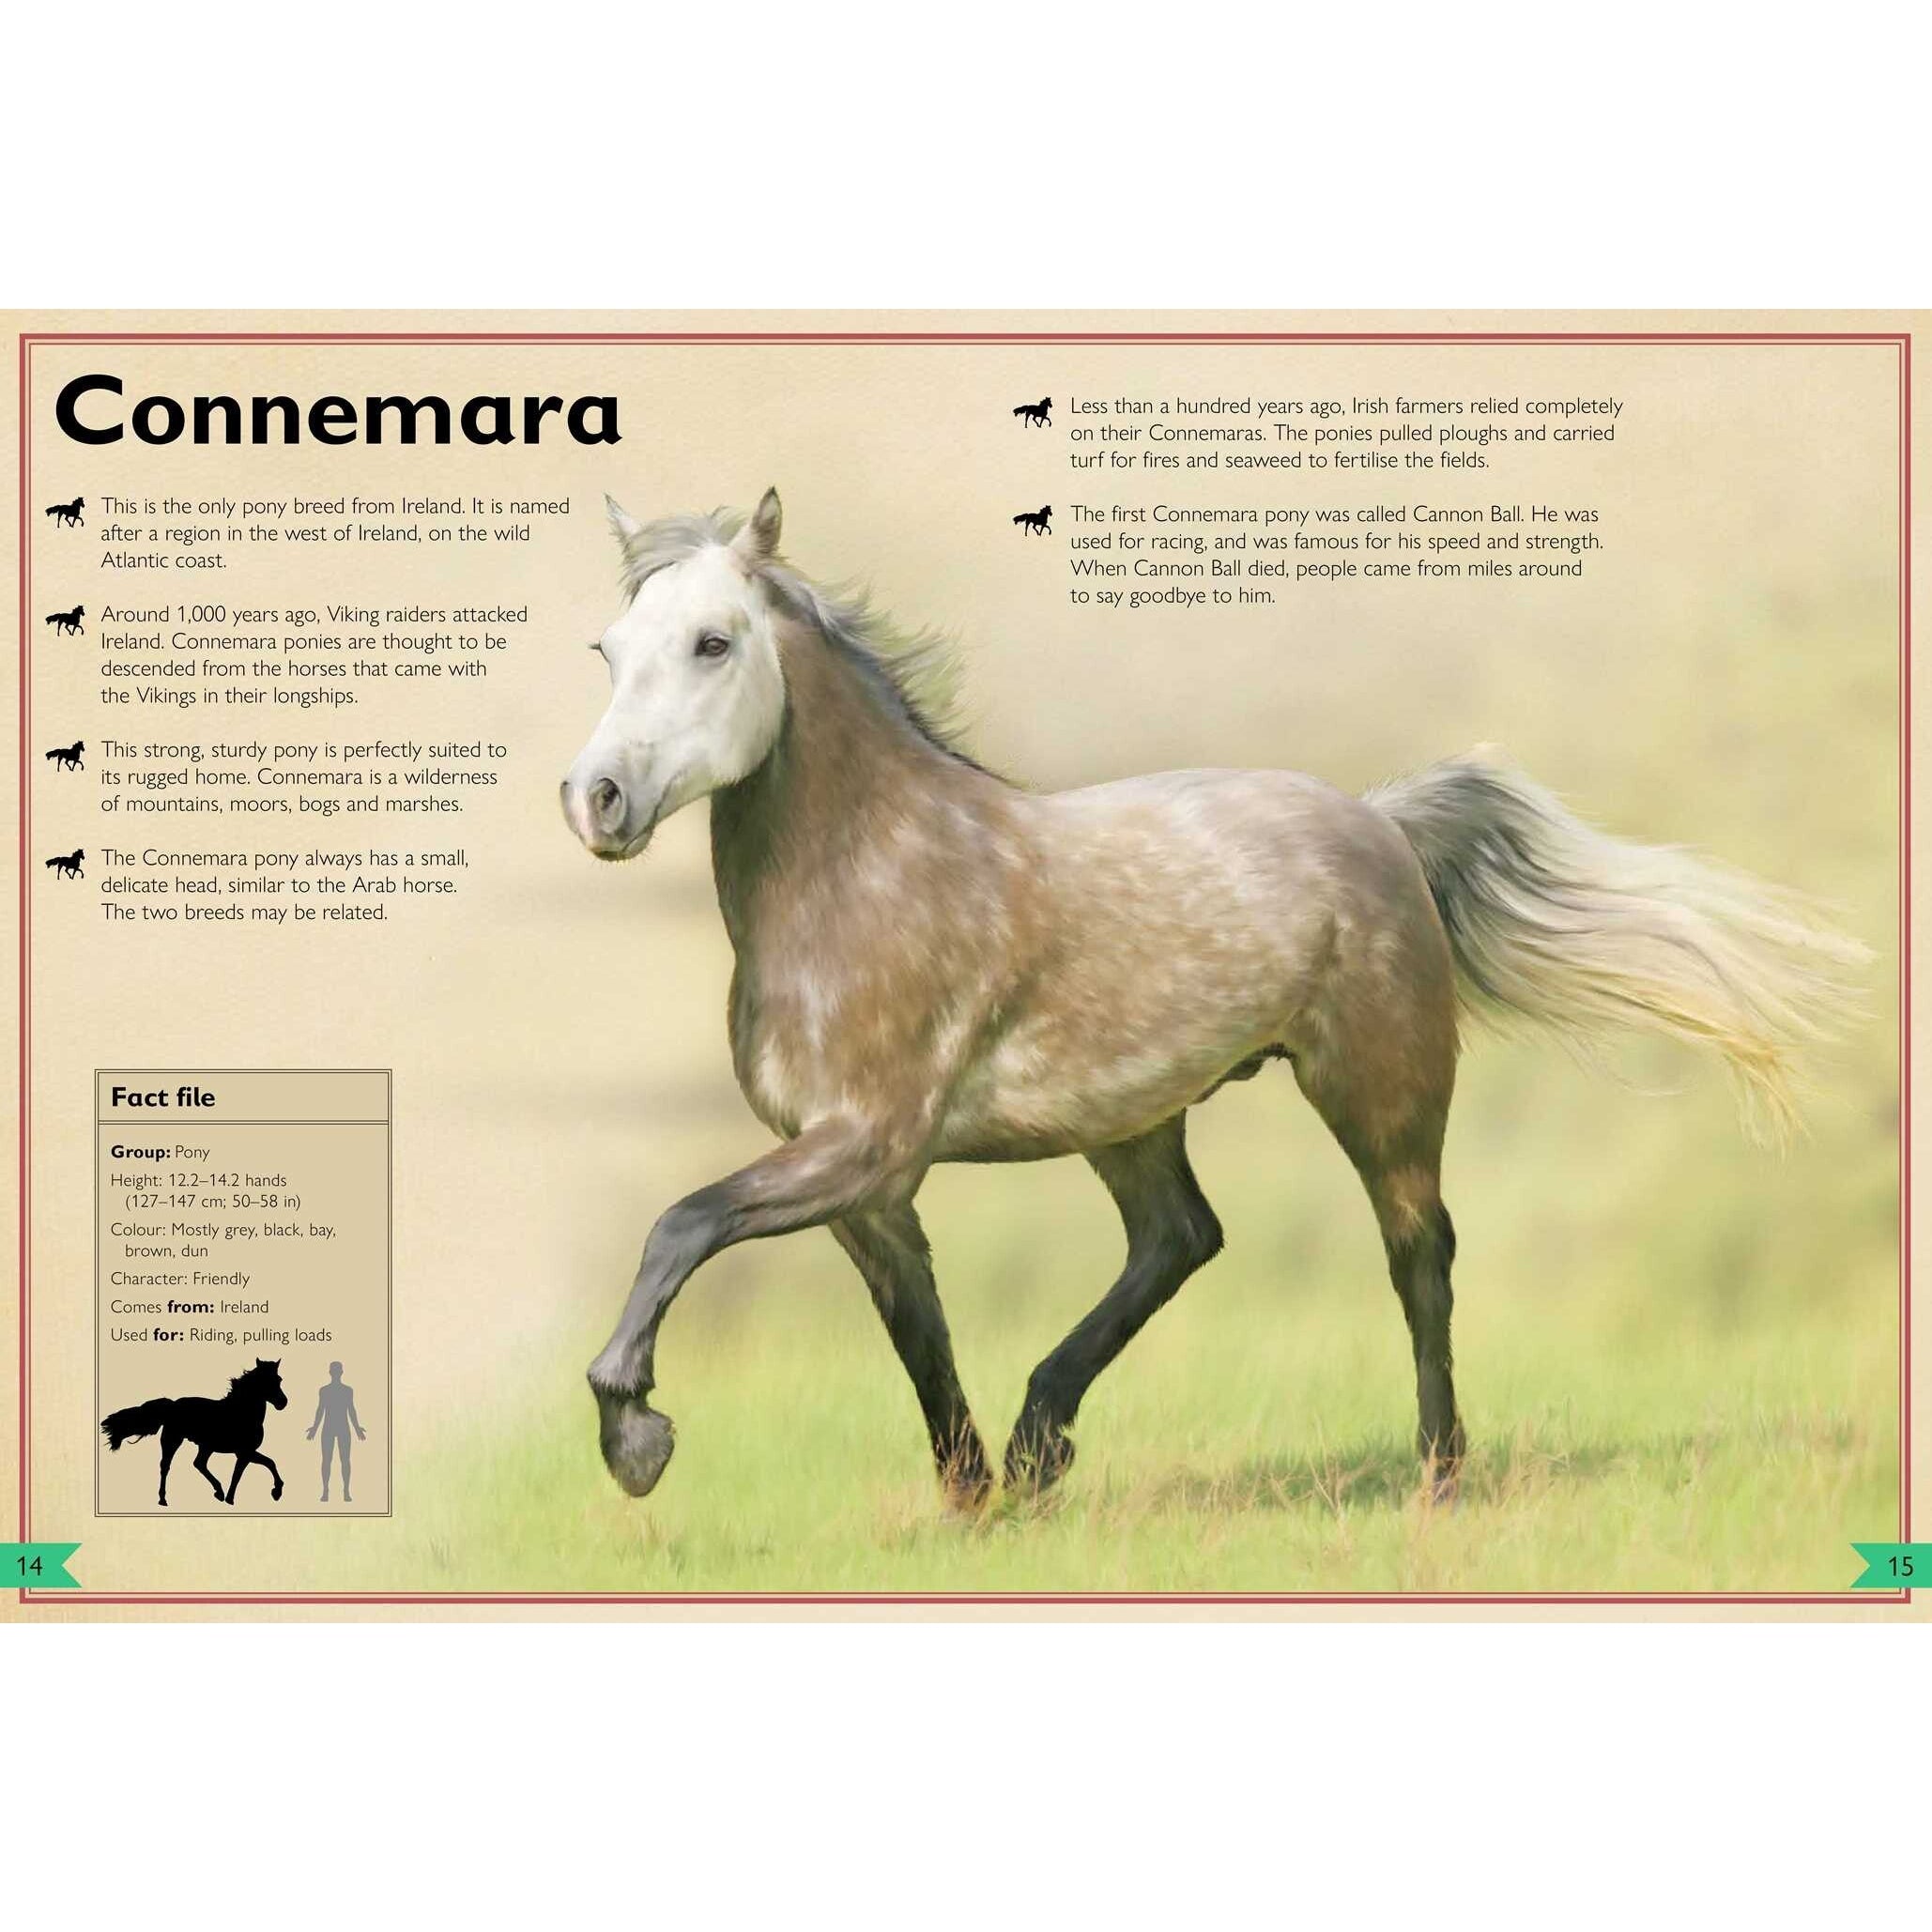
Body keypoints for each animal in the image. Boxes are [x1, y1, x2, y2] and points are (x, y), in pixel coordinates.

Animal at [101, 1359, 289, 1506]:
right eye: (265, 1381)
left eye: (279, 1379)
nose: (283, 1402)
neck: (242, 1413)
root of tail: (172, 1405)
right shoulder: (244, 1453)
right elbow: (243, 1473)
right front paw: (270, 1493)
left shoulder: (245, 1453)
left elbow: (267, 1464)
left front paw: (274, 1492)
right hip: (173, 1440)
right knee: (166, 1466)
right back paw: (163, 1499)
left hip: (205, 1446)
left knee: (199, 1463)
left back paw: (218, 1492)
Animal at [560, 490, 1865, 1511]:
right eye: (611, 650)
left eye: (714, 642)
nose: (598, 800)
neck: (870, 876)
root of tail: (1380, 822)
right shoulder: (862, 1185)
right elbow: (915, 1332)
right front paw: (974, 1500)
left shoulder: (867, 1146)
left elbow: (681, 1223)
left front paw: (635, 1439)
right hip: (1132, 1118)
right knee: (1182, 1238)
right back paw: (1042, 1445)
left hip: (1378, 1091)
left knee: (1420, 1256)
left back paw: (1440, 1477)